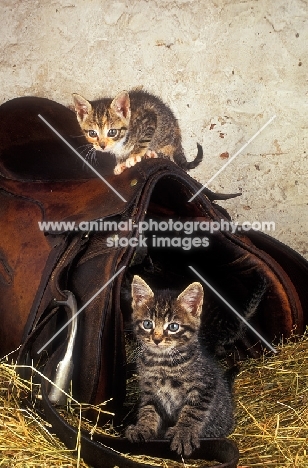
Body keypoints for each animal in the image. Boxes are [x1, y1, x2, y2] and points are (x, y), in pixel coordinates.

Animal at [72, 88, 202, 175]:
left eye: (112, 132)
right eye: (92, 133)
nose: (102, 146)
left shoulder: (149, 118)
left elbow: (143, 140)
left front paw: (133, 156)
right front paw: (120, 164)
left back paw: (152, 153)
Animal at [125, 276, 233, 456]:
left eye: (173, 327)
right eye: (148, 324)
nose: (157, 339)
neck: (163, 362)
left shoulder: (205, 385)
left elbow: (193, 411)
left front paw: (184, 433)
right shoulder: (149, 389)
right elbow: (148, 408)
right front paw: (143, 427)